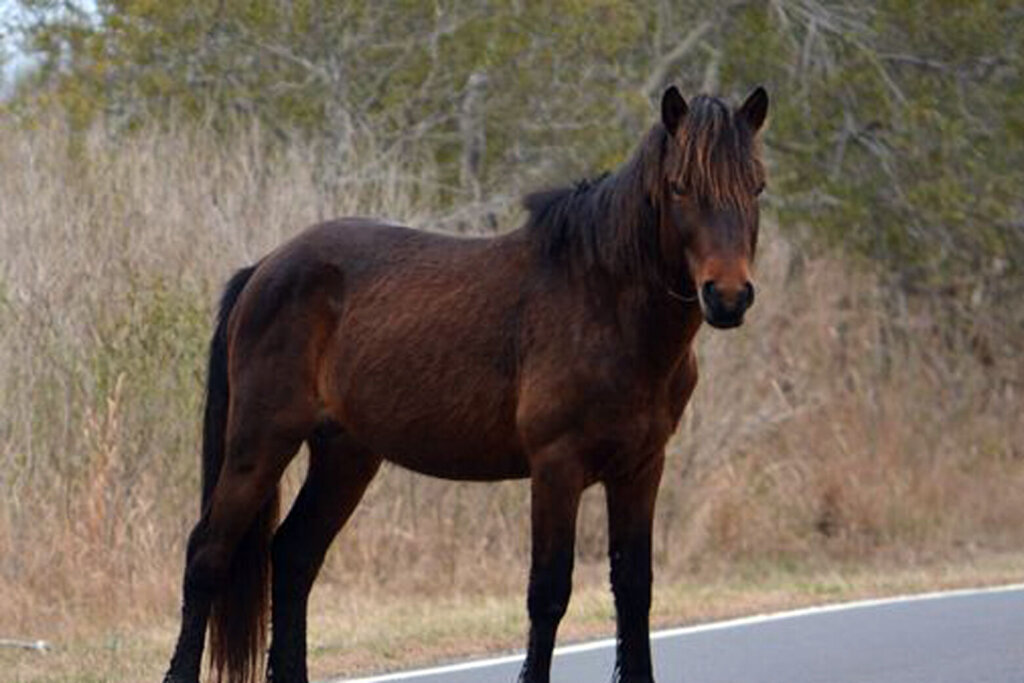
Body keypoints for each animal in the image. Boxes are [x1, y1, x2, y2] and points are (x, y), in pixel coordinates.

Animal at [163, 84, 768, 683]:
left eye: (757, 186)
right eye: (680, 186)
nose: (728, 296)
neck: (603, 303)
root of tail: (264, 267)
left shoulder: (641, 468)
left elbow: (634, 589)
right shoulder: (557, 466)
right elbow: (549, 593)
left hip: (345, 456)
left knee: (293, 557)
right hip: (260, 443)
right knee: (207, 556)